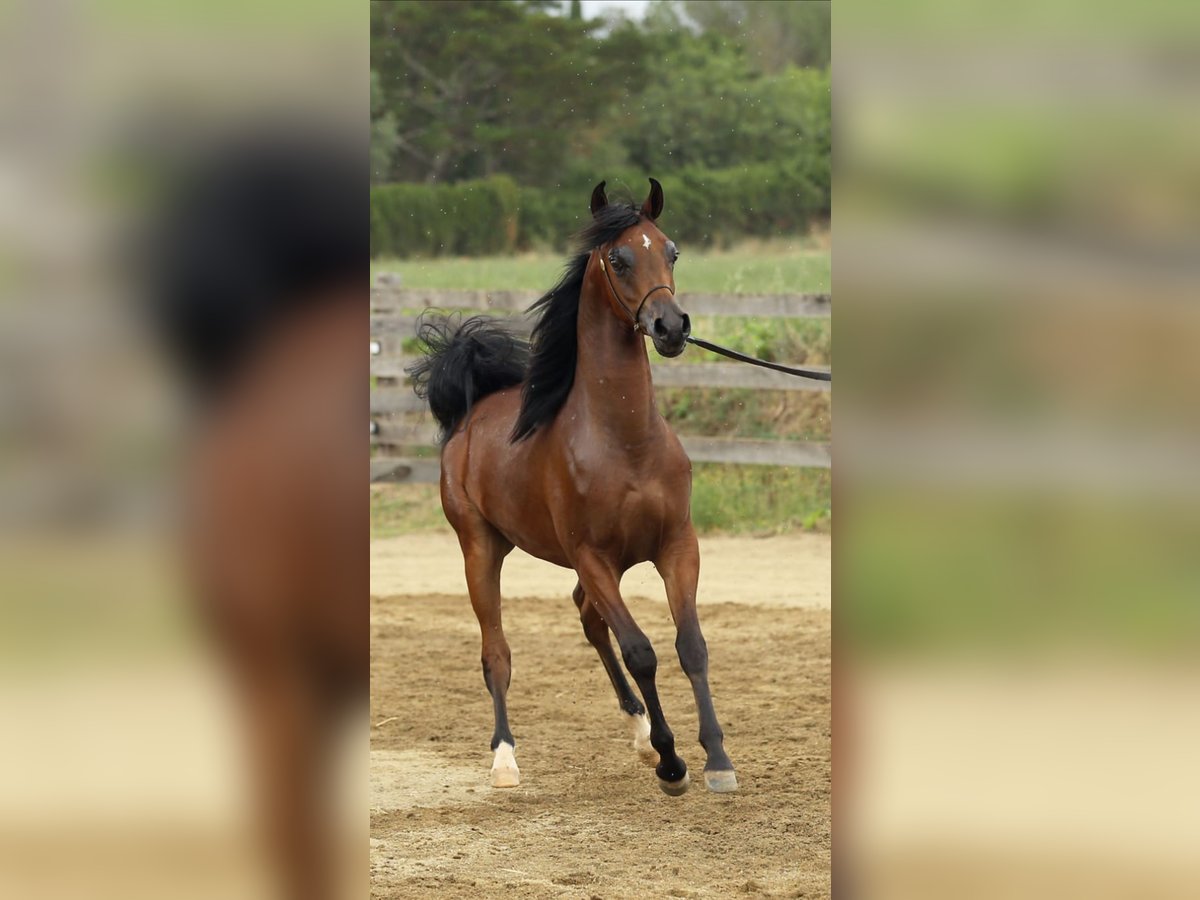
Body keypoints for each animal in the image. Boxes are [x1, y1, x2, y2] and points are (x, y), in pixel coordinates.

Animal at [408, 181, 734, 796]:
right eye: (619, 258)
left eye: (672, 251)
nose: (672, 327)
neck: (624, 441)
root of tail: (469, 414)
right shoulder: (593, 557)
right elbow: (642, 651)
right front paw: (672, 764)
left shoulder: (677, 546)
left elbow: (692, 647)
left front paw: (717, 761)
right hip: (481, 550)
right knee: (497, 653)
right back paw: (505, 759)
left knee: (588, 619)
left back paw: (638, 733)